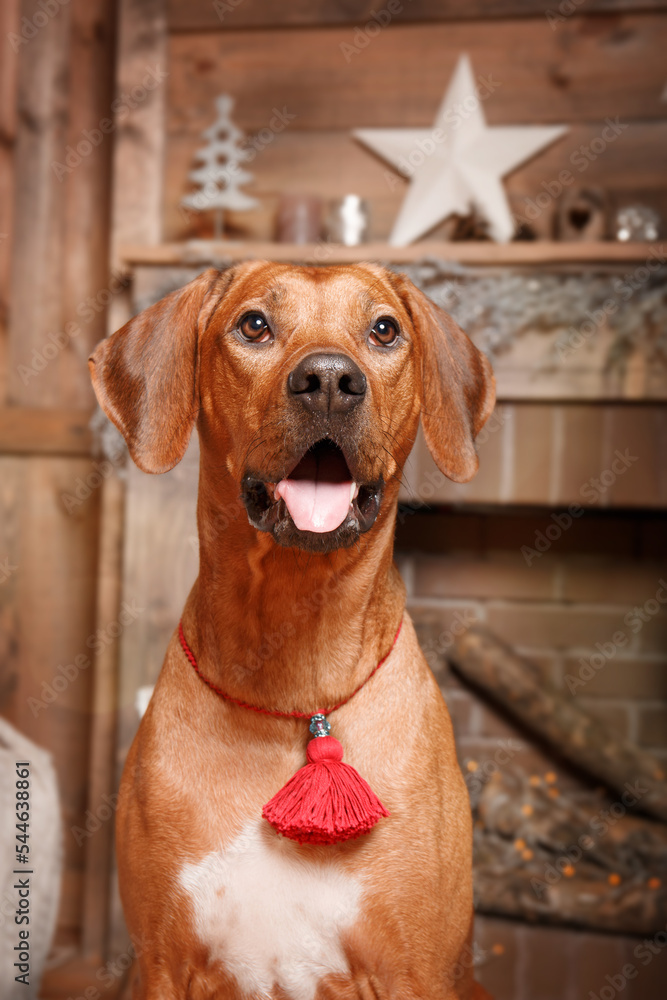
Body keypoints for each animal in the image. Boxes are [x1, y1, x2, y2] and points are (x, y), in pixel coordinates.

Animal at [88, 262, 496, 996]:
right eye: (253, 324)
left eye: (383, 329)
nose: (330, 380)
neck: (294, 677)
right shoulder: (161, 963)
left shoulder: (416, 971)